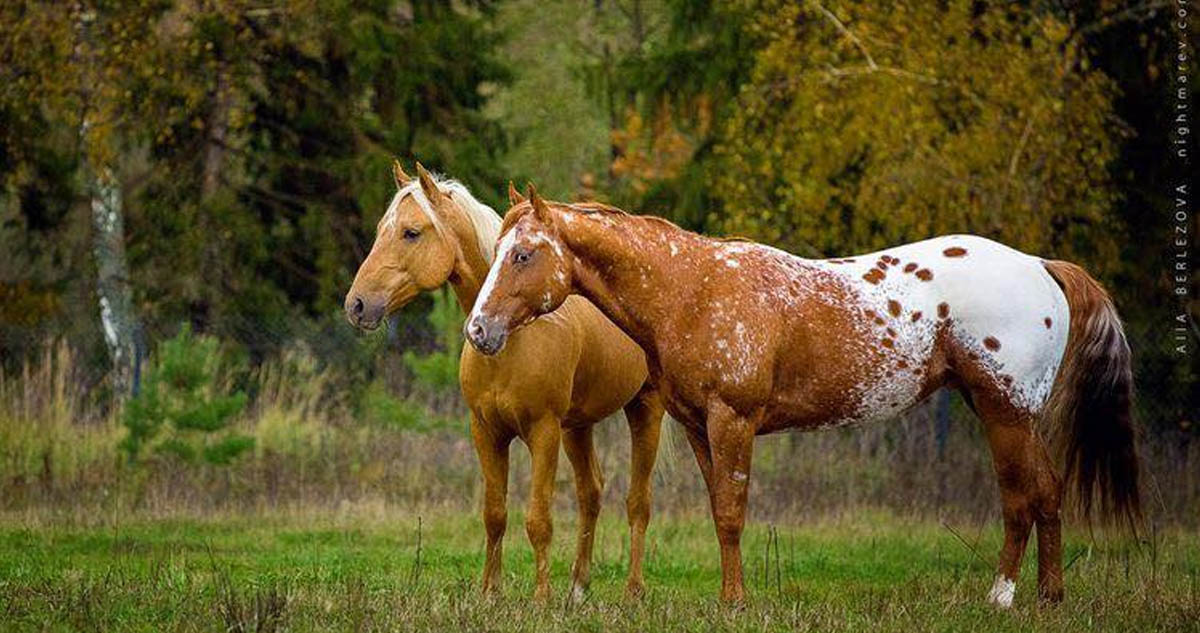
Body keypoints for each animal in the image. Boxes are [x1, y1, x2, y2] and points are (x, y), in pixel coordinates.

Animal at [343, 165, 667, 601]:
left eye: (411, 232)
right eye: (382, 229)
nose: (357, 305)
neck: (513, 338)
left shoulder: (543, 432)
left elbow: (538, 520)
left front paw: (541, 598)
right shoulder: (486, 431)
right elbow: (494, 515)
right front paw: (490, 593)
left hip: (644, 410)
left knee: (637, 502)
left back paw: (632, 590)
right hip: (577, 427)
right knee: (591, 492)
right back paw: (578, 588)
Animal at [463, 189, 1137, 609]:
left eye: (522, 254)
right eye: (495, 253)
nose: (479, 330)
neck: (691, 290)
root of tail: (1041, 266)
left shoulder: (733, 421)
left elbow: (732, 514)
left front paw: (735, 602)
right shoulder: (698, 427)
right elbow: (719, 509)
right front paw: (729, 597)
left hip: (1005, 413)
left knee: (1023, 498)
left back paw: (1002, 596)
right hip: (1005, 413)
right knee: (1045, 493)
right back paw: (1048, 596)